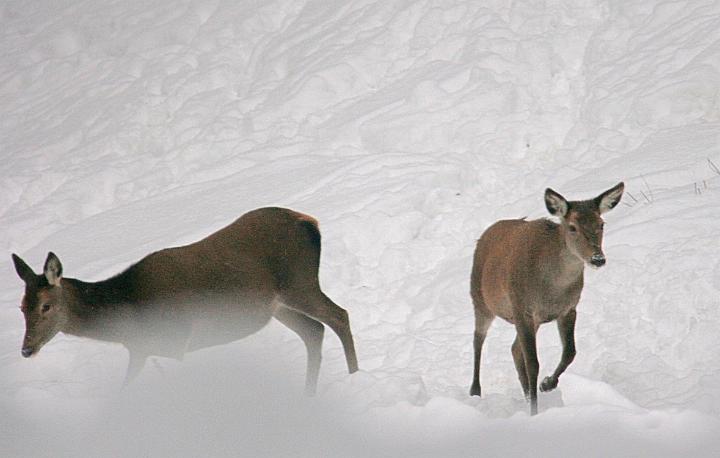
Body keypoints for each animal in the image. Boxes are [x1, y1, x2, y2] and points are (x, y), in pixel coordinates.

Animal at [12, 207, 359, 394]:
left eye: (45, 306)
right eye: (21, 308)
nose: (26, 349)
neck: (129, 316)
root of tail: (311, 222)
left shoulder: (174, 341)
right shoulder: (143, 350)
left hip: (299, 283)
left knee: (339, 315)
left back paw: (355, 376)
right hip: (279, 306)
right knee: (314, 331)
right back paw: (308, 396)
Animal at [469, 183, 624, 415]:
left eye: (601, 224)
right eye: (572, 227)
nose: (598, 259)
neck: (552, 290)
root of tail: (487, 232)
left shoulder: (568, 309)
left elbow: (570, 352)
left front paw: (547, 384)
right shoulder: (522, 307)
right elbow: (533, 363)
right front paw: (535, 411)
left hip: (532, 320)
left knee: (514, 349)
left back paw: (526, 395)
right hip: (480, 299)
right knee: (478, 339)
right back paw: (475, 391)